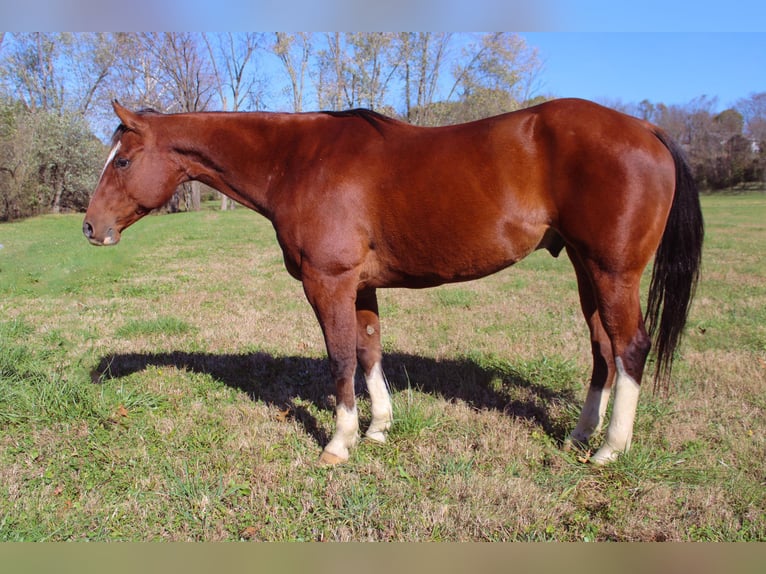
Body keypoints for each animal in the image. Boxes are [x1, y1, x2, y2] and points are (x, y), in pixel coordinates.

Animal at [82, 100, 704, 468]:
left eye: (122, 161)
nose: (90, 227)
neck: (298, 160)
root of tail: (645, 128)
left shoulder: (327, 282)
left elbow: (338, 358)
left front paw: (339, 443)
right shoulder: (360, 286)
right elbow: (368, 350)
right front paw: (378, 427)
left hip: (612, 271)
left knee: (630, 347)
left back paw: (611, 449)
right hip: (584, 268)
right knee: (602, 348)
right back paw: (580, 436)